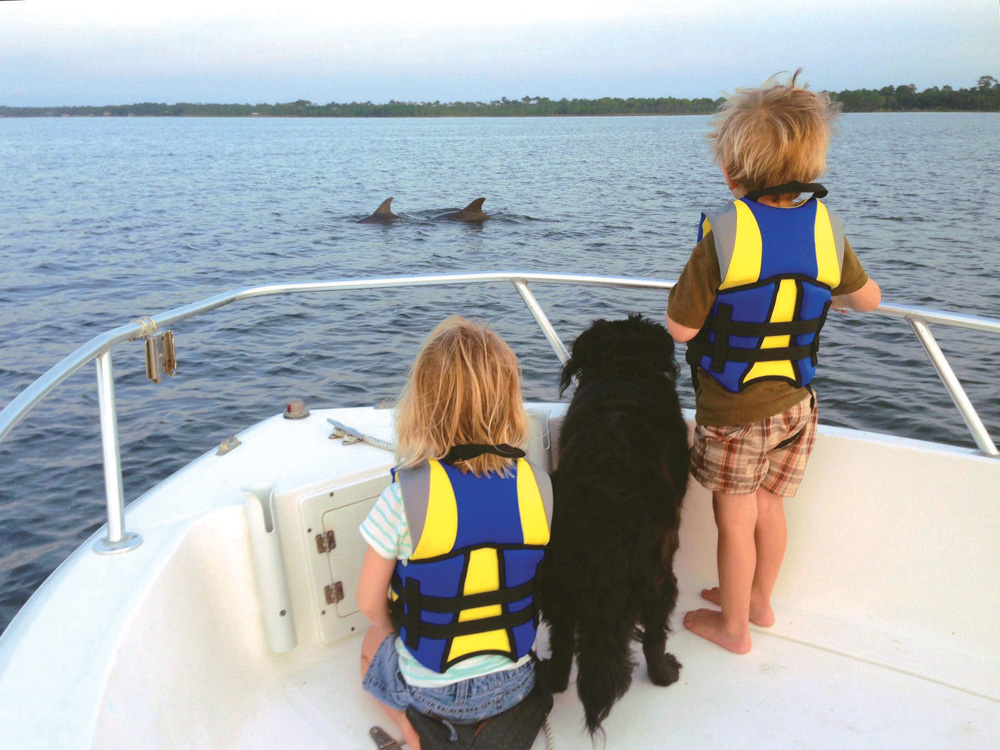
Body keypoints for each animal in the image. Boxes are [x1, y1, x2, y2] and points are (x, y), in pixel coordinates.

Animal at [540, 314, 688, 736]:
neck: (624, 367)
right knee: (654, 636)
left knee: (561, 643)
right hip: (659, 576)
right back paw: (665, 673)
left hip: (556, 577)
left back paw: (551, 680)